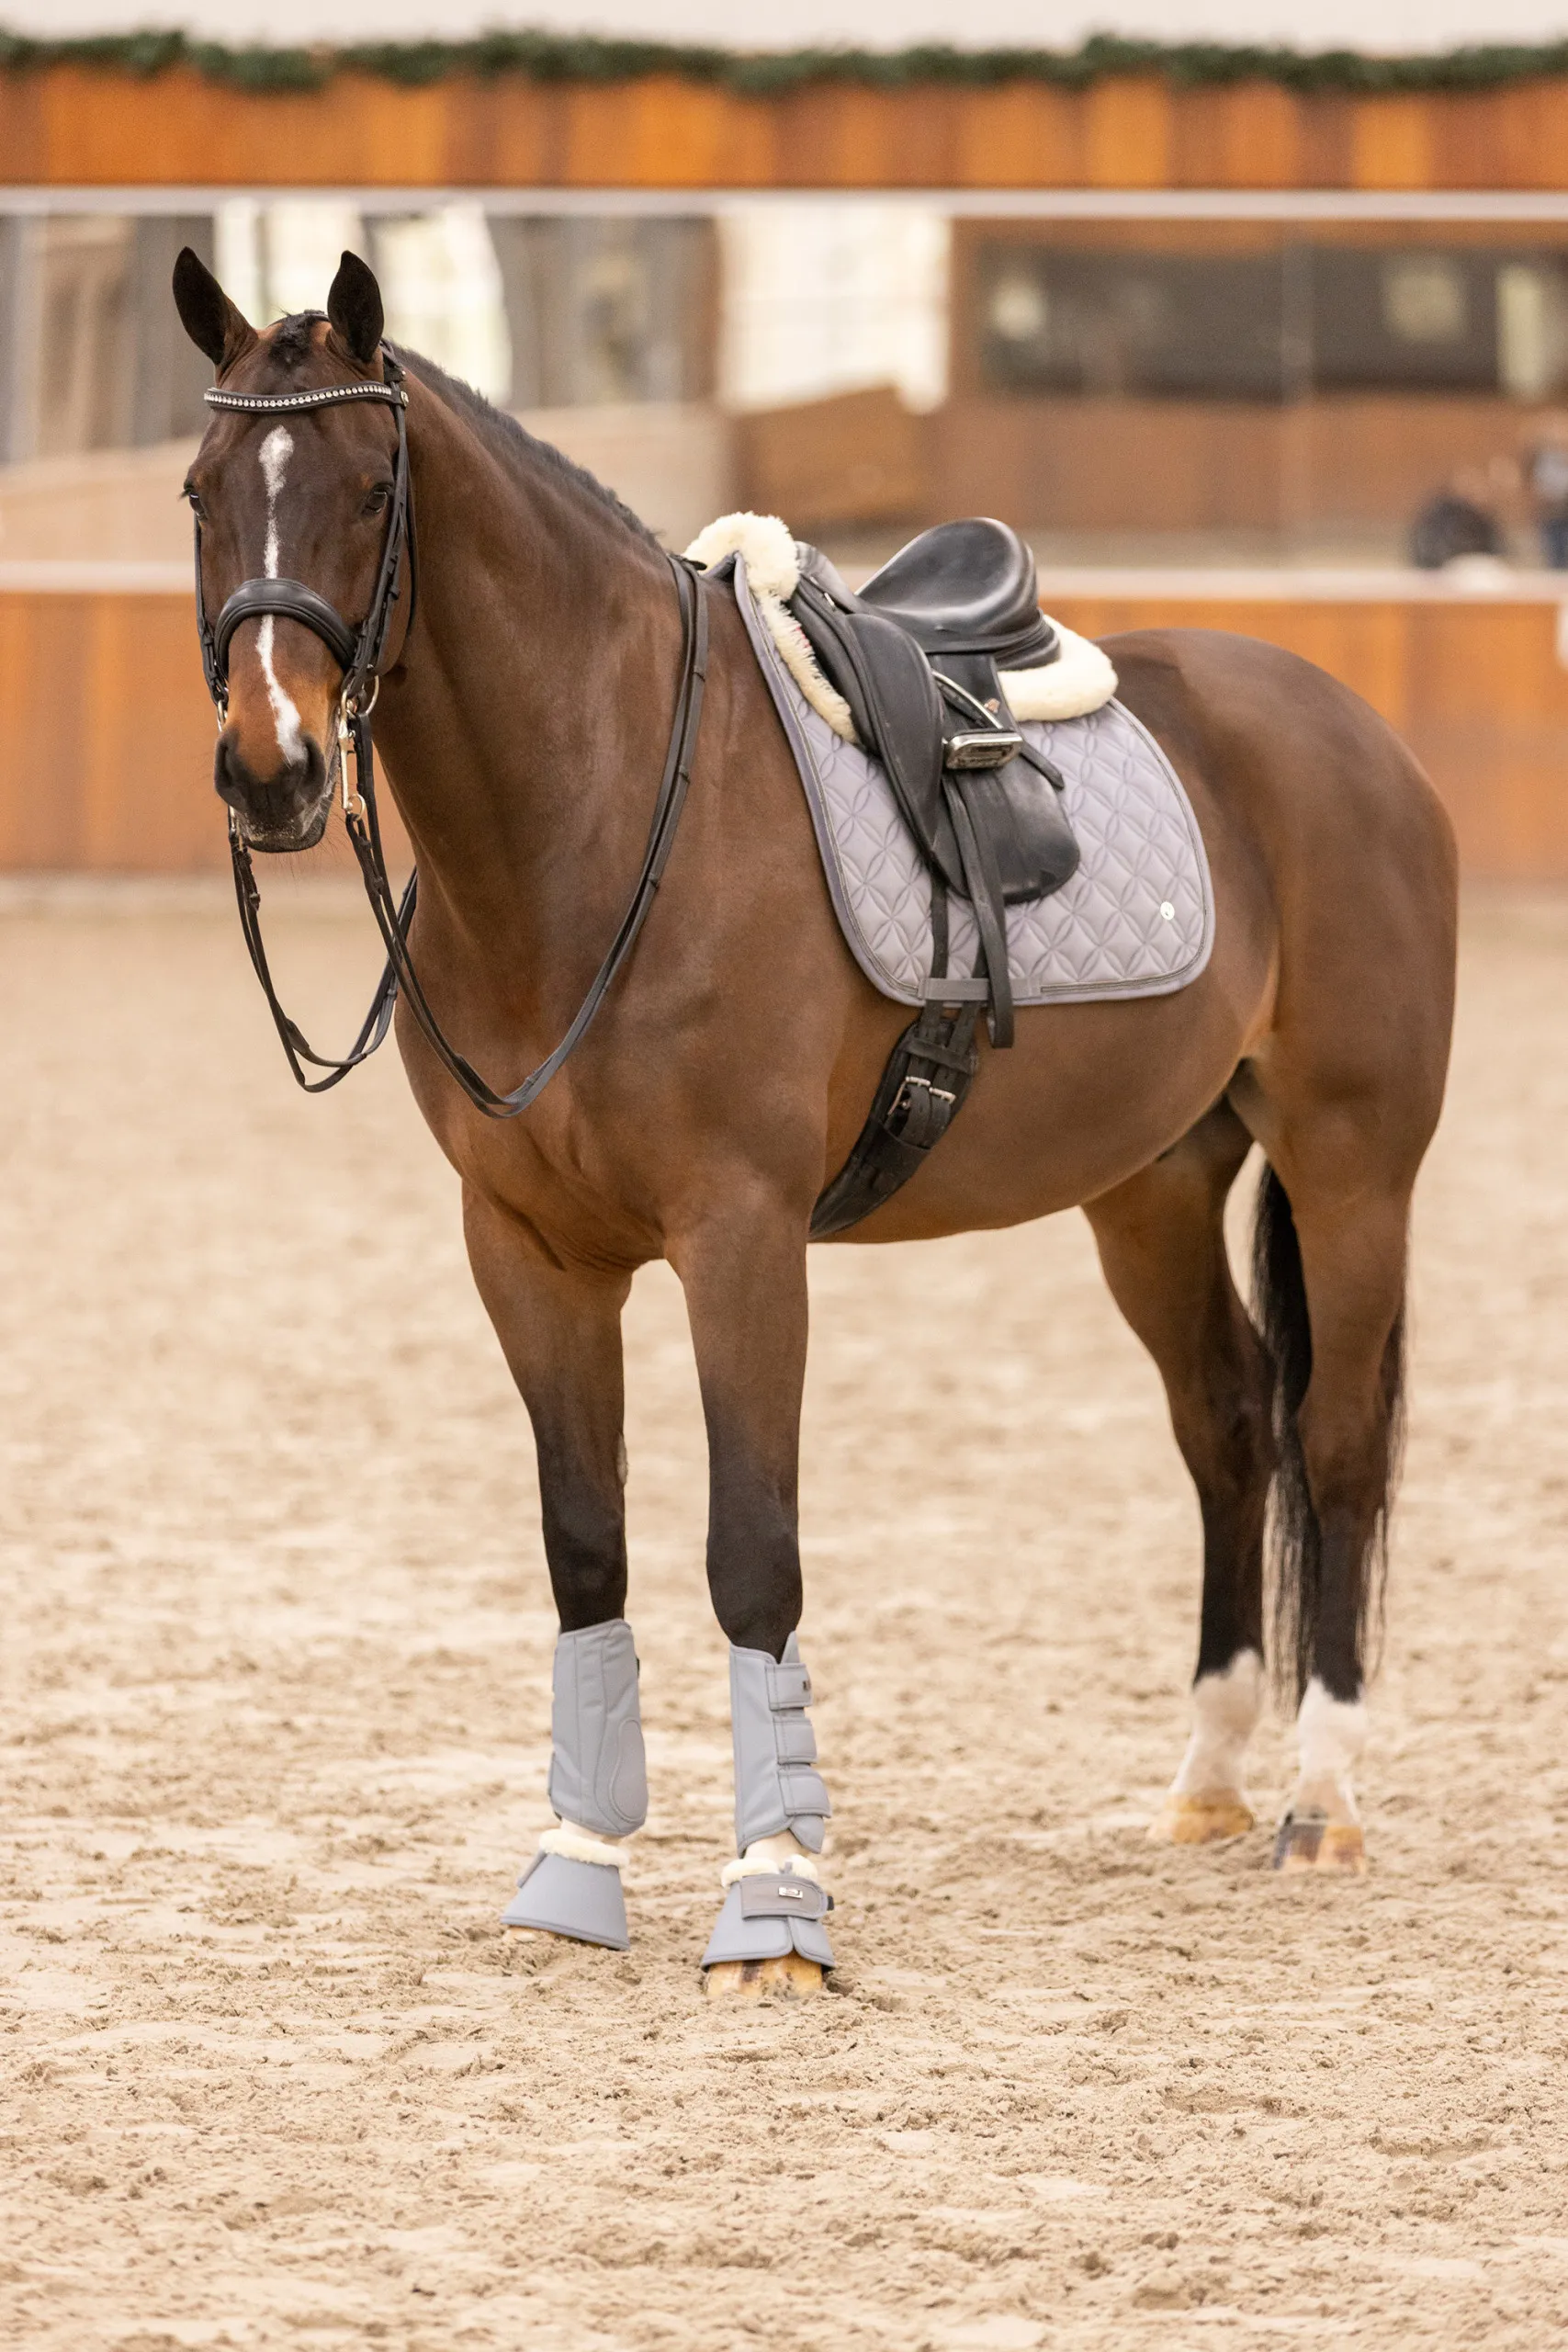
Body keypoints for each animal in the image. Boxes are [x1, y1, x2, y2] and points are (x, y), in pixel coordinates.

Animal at [177, 248, 1466, 1994]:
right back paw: (1204, 1781)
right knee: (1226, 1425)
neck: (598, 823)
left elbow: (750, 1553)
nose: (273, 769)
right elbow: (585, 1546)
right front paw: (574, 1873)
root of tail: (1345, 727)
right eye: (199, 492)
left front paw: (774, 1904)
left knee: (1327, 1443)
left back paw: (1317, 1802)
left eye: (374, 493)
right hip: (1145, 1186)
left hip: (1350, 1170)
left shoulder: (740, 1239)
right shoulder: (525, 1252)